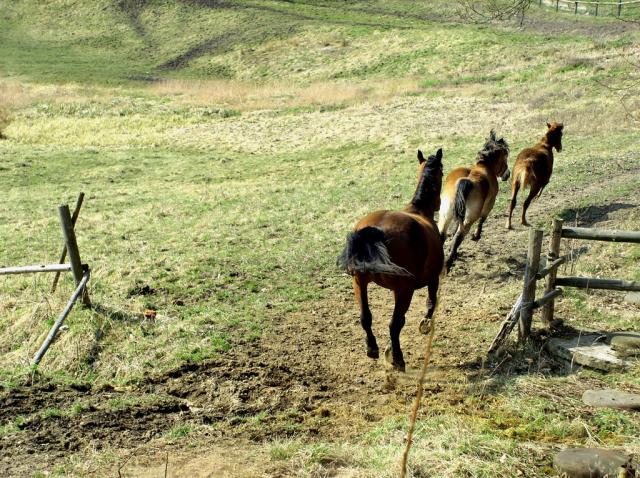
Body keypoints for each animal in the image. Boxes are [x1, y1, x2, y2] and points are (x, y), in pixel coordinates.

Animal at [336, 148, 444, 372]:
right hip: (403, 291)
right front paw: (425, 325)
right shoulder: (433, 278)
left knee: (365, 317)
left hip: (359, 282)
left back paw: (372, 349)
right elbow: (431, 302)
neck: (419, 210)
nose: (439, 203)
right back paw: (398, 359)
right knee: (395, 324)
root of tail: (376, 229)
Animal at [438, 131, 508, 272]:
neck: (483, 166)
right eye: (505, 157)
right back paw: (448, 263)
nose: (507, 175)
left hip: (445, 214)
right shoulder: (489, 206)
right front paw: (476, 236)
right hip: (469, 219)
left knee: (442, 234)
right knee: (458, 237)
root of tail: (465, 181)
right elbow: (482, 220)